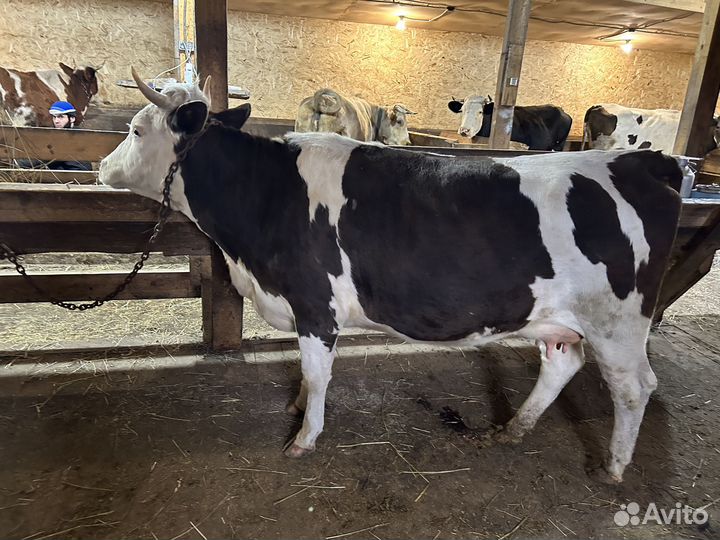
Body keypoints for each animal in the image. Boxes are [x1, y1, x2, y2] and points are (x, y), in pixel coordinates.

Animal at [99, 69, 684, 484]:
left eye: (135, 130)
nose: (101, 167)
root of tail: (645, 163)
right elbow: (307, 375)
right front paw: (297, 407)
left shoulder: (315, 306)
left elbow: (317, 374)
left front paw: (304, 436)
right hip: (555, 318)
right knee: (563, 363)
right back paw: (512, 430)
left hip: (619, 323)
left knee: (635, 387)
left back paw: (612, 468)